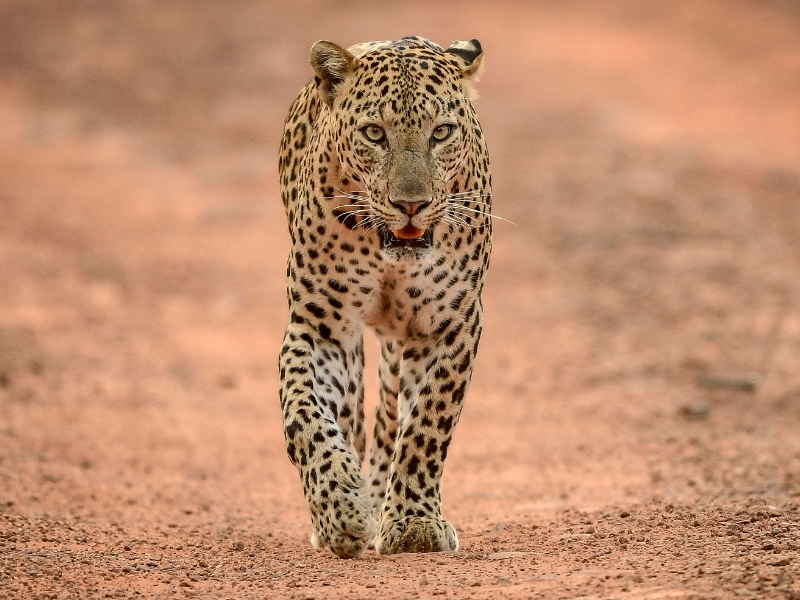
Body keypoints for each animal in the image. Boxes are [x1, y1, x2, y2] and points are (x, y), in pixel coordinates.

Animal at [282, 34, 494, 556]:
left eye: (441, 132)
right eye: (375, 133)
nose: (411, 204)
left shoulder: (450, 324)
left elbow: (426, 425)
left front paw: (413, 523)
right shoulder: (321, 327)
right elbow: (305, 417)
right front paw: (340, 509)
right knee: (354, 416)